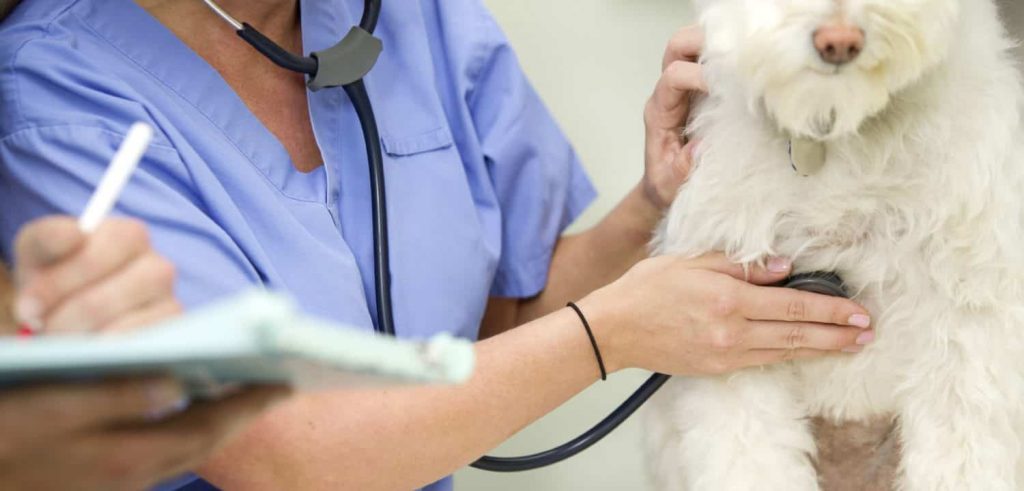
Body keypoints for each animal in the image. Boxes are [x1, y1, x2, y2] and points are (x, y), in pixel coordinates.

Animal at [643, 0, 1024, 489]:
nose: (839, 42)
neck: (834, 127)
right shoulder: (733, 339)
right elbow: (749, 459)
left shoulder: (970, 321)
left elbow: (962, 454)